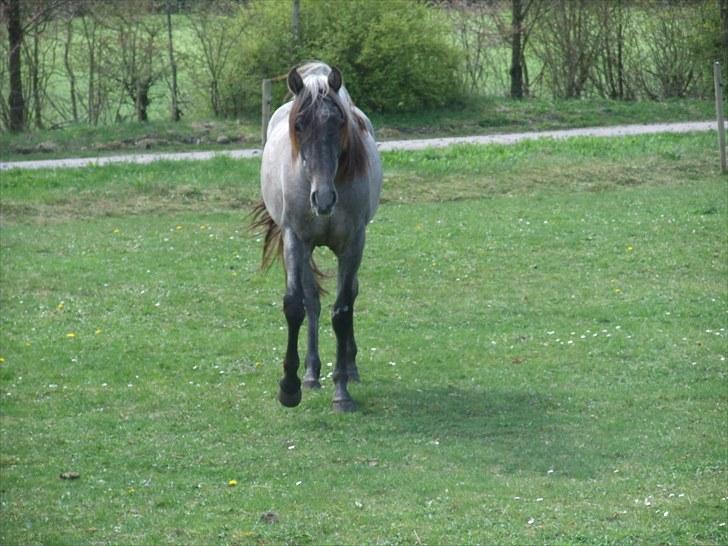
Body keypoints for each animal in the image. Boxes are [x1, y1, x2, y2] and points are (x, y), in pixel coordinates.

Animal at [253, 60, 384, 408]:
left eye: (338, 122)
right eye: (299, 125)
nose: (323, 199)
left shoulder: (353, 244)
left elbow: (342, 311)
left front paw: (341, 391)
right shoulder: (295, 240)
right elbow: (295, 306)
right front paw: (289, 387)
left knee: (349, 295)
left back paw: (349, 367)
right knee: (312, 302)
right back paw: (311, 374)